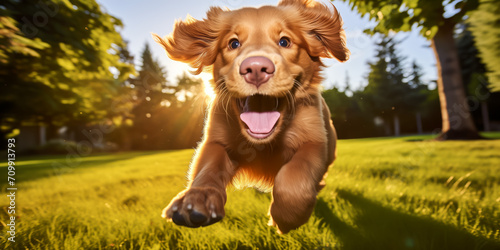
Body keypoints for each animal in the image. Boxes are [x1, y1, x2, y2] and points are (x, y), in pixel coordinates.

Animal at [152, 0, 348, 234]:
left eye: (284, 41)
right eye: (233, 43)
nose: (255, 68)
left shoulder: (315, 141)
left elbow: (293, 176)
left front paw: (286, 217)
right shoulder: (215, 140)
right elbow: (207, 170)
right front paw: (196, 200)